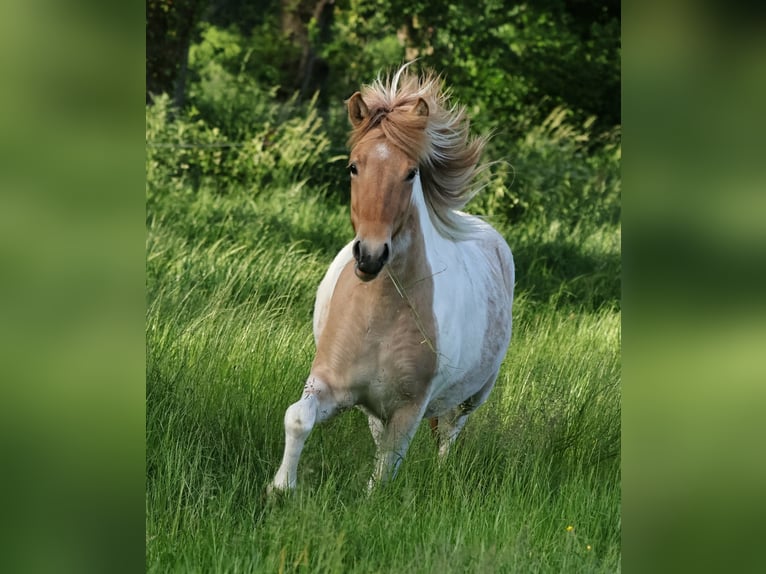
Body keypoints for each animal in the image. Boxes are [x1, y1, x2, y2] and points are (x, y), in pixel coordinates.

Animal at [269, 64, 514, 492]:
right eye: (353, 166)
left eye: (411, 173)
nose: (370, 255)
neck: (379, 314)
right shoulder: (330, 385)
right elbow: (298, 417)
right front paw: (281, 488)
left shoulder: (409, 409)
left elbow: (383, 474)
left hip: (475, 393)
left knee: (450, 433)